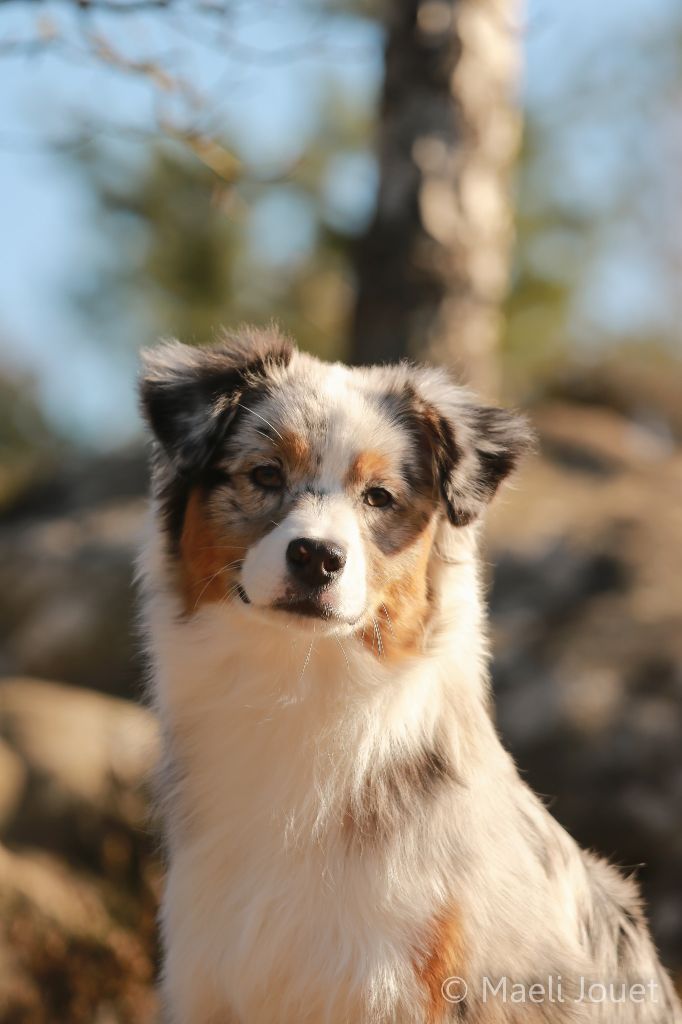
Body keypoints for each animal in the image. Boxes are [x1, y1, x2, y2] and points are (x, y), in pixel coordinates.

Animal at [138, 329, 679, 1024]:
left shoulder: (395, 986)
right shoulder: (210, 975)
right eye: (265, 474)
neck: (299, 687)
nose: (317, 557)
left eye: (379, 497)